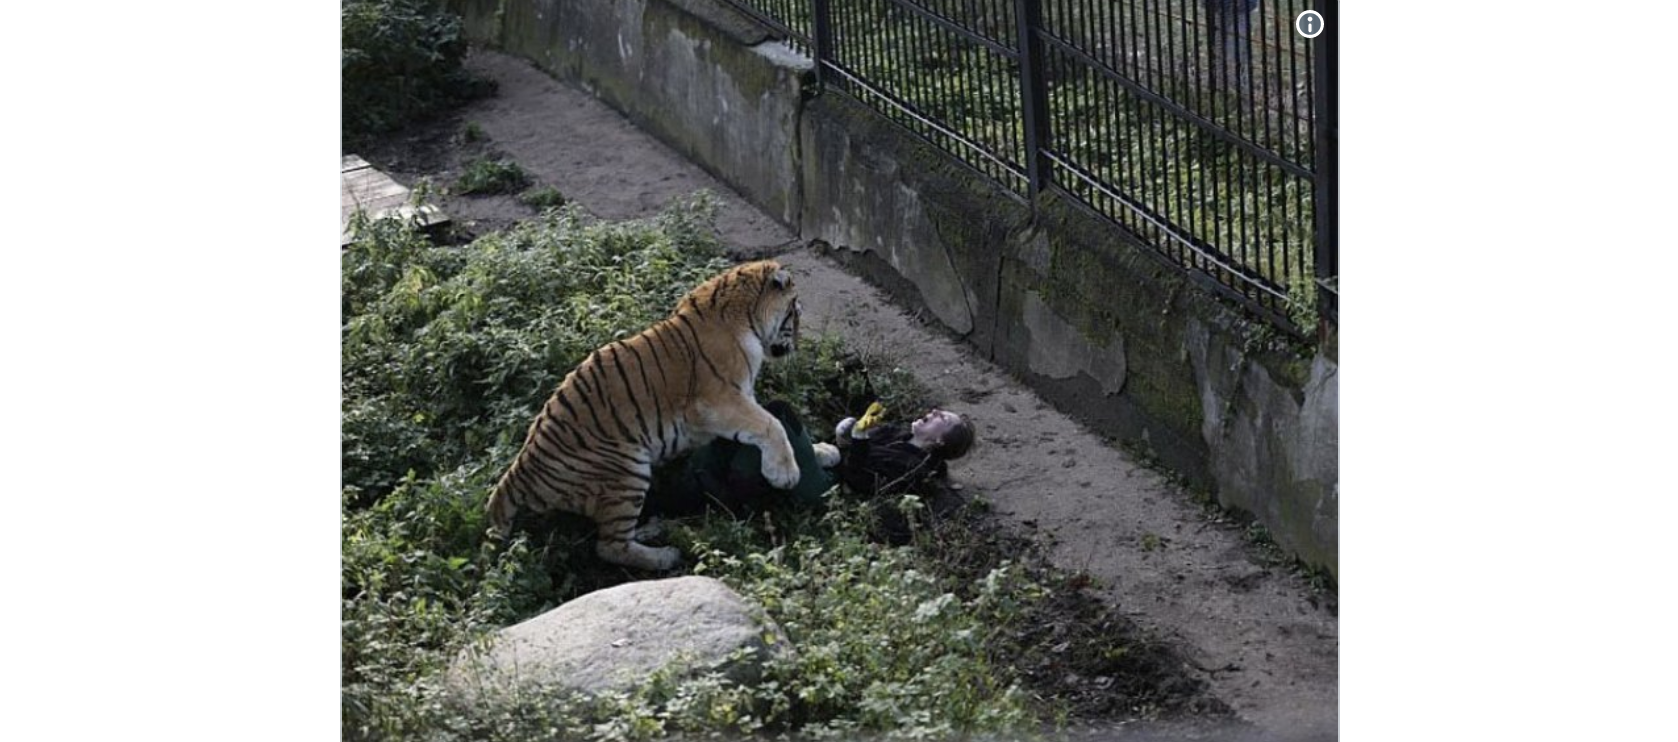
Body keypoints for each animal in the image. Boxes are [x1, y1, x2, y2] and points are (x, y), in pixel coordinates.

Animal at [485, 259, 803, 571]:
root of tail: (519, 470)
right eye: (796, 313)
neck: (746, 313)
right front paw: (785, 474)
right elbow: (771, 424)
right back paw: (666, 556)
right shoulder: (716, 400)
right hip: (627, 470)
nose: (798, 345)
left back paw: (654, 528)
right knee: (610, 546)